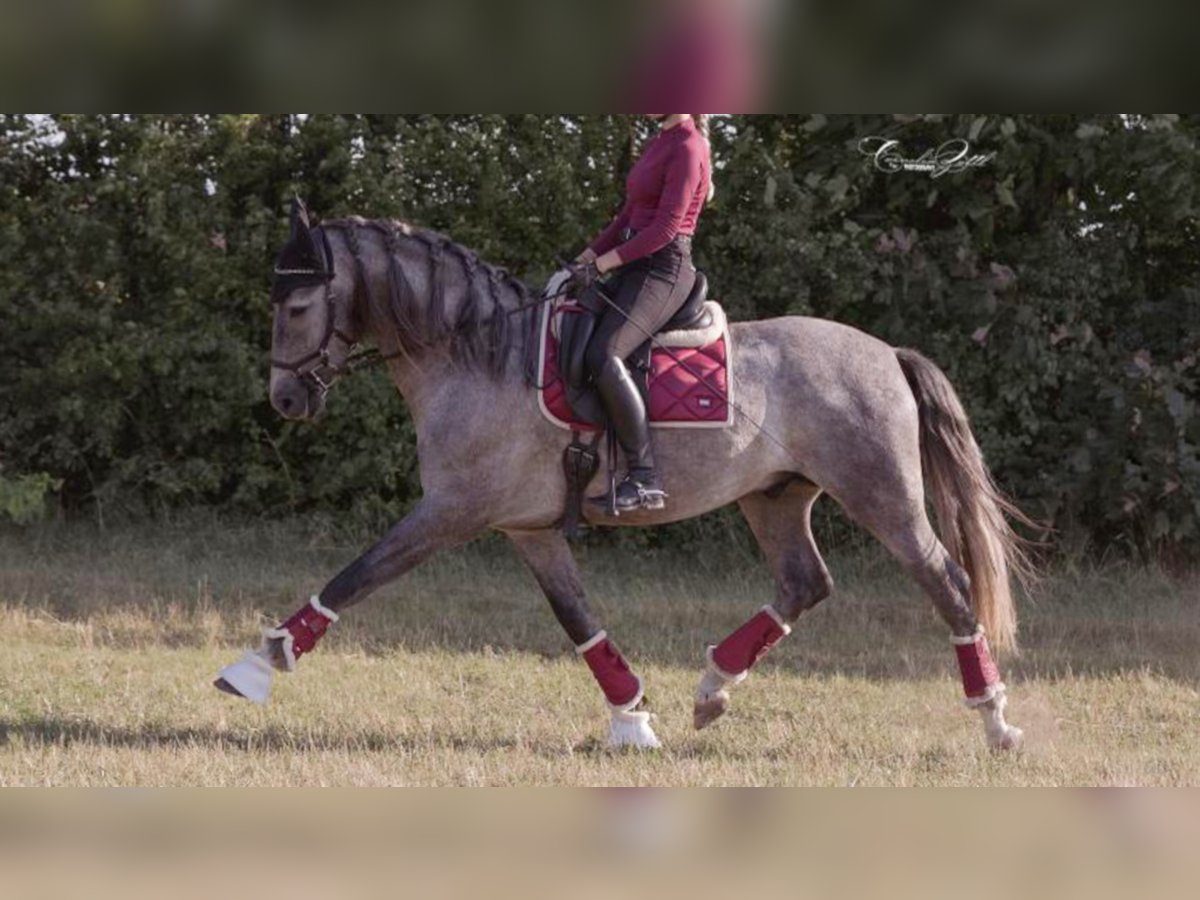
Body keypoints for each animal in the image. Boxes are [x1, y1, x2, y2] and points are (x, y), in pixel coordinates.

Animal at [220, 204, 1036, 753]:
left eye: (298, 305)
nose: (285, 399)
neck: (478, 354)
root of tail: (887, 352)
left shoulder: (451, 510)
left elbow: (356, 576)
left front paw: (256, 664)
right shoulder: (528, 528)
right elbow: (580, 621)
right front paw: (633, 718)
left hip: (882, 497)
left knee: (946, 583)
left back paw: (996, 720)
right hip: (774, 497)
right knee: (805, 583)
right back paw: (711, 691)